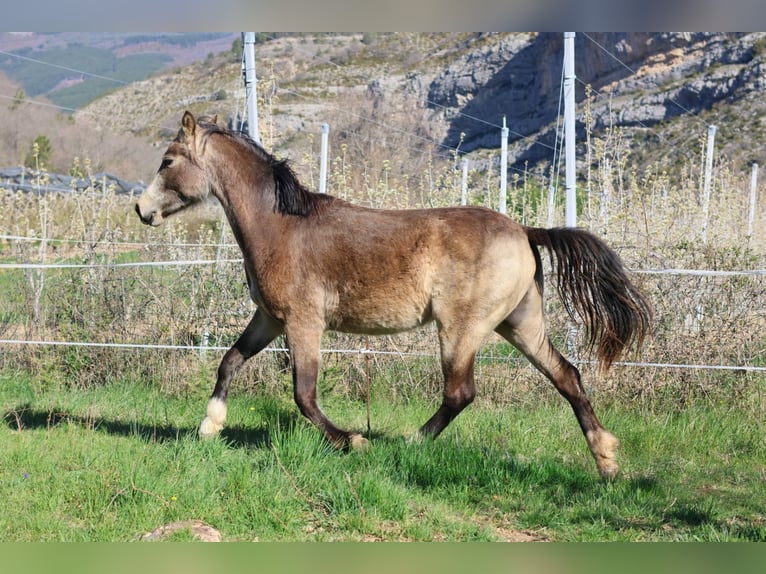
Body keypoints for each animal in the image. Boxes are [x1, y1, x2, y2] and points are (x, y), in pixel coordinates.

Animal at [136, 111, 652, 479]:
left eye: (167, 161)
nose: (141, 209)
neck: (280, 226)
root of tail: (525, 231)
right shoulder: (269, 319)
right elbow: (230, 361)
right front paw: (209, 426)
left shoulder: (304, 322)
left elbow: (304, 395)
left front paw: (352, 442)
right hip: (520, 324)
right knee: (567, 376)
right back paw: (607, 461)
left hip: (462, 330)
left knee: (460, 392)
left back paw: (409, 443)